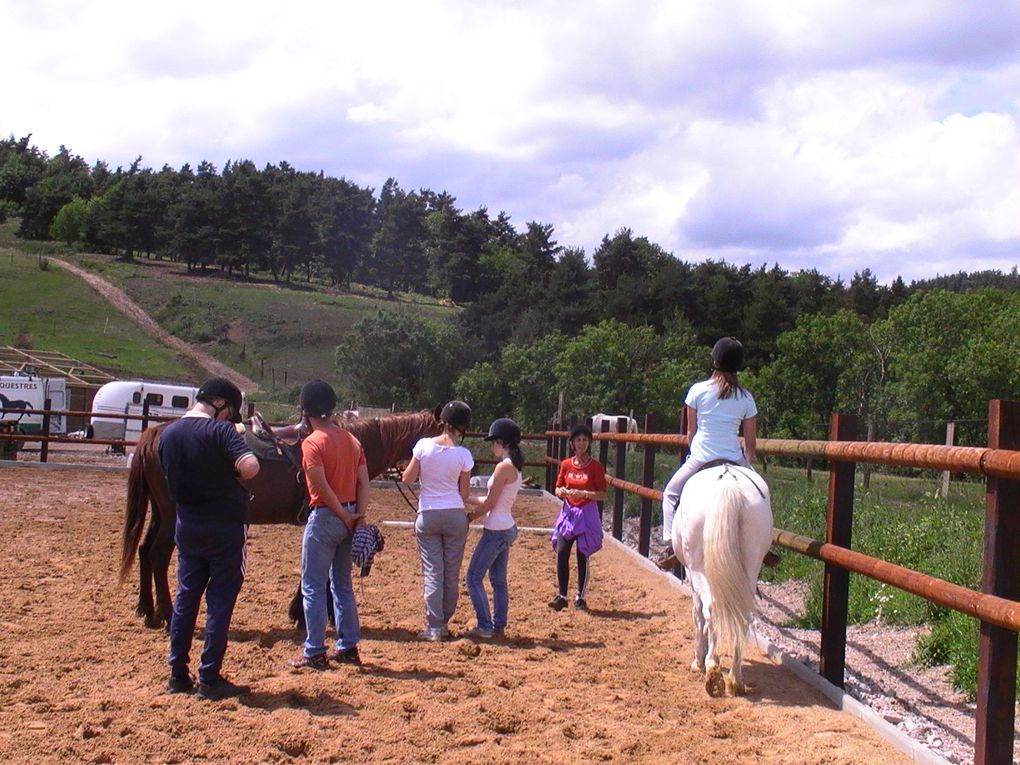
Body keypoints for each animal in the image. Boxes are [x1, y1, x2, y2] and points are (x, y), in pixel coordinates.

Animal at [120, 408, 442, 628]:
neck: (347, 447)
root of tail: (155, 434)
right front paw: (306, 614)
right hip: (172, 518)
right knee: (158, 555)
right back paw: (166, 614)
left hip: (160, 513)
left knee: (145, 550)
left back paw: (146, 610)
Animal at [669, 465, 771, 697]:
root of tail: (729, 482)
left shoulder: (692, 577)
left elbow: (698, 615)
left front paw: (698, 659)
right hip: (751, 567)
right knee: (743, 616)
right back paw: (736, 679)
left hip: (698, 569)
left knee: (710, 610)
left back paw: (712, 669)